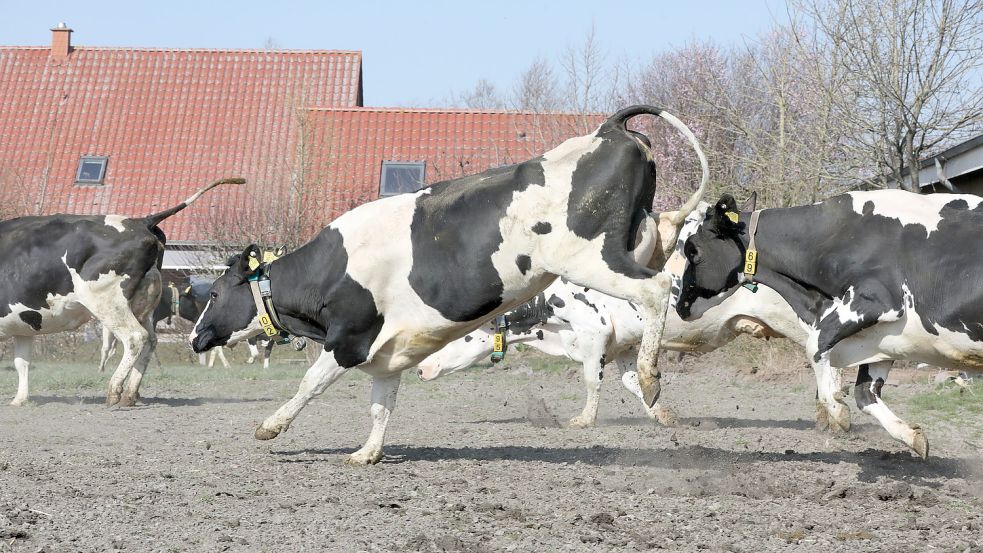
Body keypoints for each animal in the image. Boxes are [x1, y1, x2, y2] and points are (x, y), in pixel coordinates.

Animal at [1, 177, 242, 406]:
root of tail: (141, 221)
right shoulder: (22, 325)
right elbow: (22, 362)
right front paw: (20, 399)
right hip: (143, 305)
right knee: (150, 341)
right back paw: (130, 394)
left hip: (107, 301)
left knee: (135, 337)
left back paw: (114, 390)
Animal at [190, 105, 709, 464]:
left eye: (213, 294)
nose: (195, 336)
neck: (331, 268)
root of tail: (608, 129)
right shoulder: (387, 355)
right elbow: (381, 406)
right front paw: (367, 453)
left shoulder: (349, 339)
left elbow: (310, 384)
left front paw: (270, 426)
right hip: (643, 239)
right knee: (667, 249)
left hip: (593, 258)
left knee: (656, 289)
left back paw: (650, 375)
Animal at [674, 190, 983, 458]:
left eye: (692, 250)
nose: (679, 306)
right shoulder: (880, 340)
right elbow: (864, 394)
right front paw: (912, 437)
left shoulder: (875, 300)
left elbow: (815, 345)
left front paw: (836, 410)